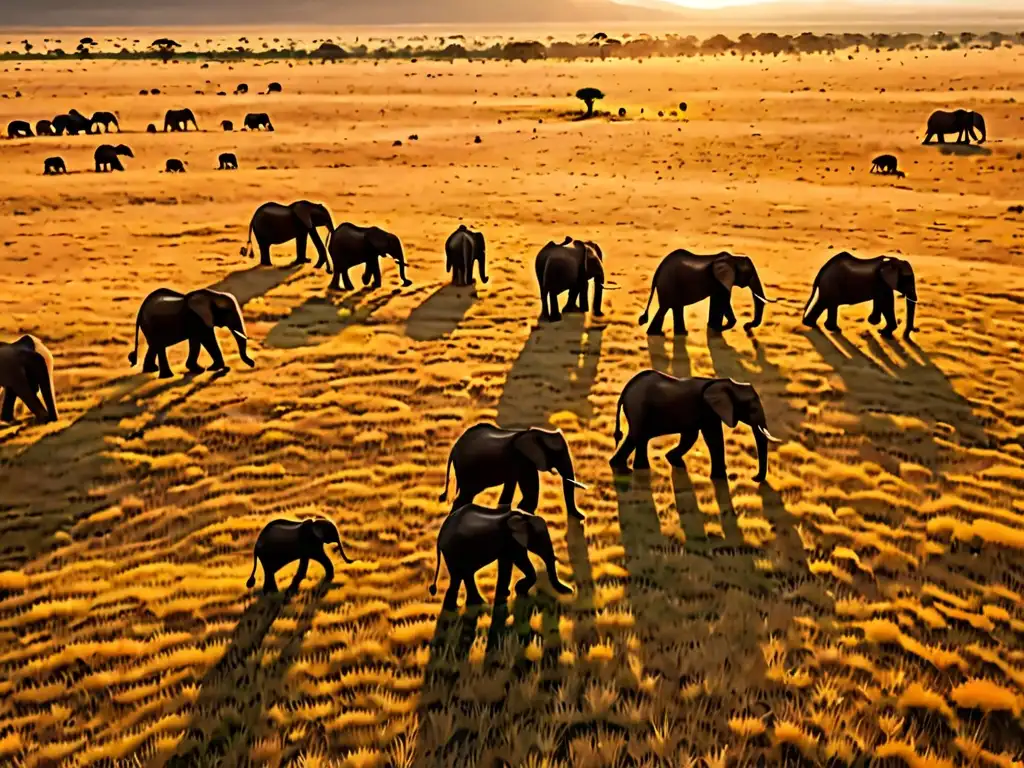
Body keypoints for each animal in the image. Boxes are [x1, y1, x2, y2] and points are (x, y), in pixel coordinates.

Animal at [127, 286, 256, 378]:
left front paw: (200, 369)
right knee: (158, 346)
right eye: (227, 312)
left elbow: (196, 341)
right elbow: (207, 339)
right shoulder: (198, 318)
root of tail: (140, 310)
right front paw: (215, 368)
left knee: (153, 346)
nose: (252, 364)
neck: (213, 295)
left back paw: (152, 369)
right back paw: (166, 376)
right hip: (152, 325)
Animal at [428, 505, 577, 614]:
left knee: (462, 575)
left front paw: (513, 593)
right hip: (454, 551)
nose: (571, 591)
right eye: (539, 538)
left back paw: (469, 606)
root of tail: (440, 534)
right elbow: (520, 560)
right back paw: (465, 607)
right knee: (460, 575)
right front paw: (519, 590)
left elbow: (507, 561)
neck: (524, 516)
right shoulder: (512, 540)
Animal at [438, 423, 589, 520]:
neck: (536, 433)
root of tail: (455, 447)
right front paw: (525, 510)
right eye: (556, 453)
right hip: (468, 470)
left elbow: (511, 485)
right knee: (465, 496)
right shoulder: (524, 459)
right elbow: (530, 485)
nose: (582, 517)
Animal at [606, 370, 774, 481]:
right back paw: (623, 469)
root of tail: (625, 391)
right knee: (635, 436)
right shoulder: (708, 409)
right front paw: (719, 478)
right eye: (752, 409)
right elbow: (713, 438)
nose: (754, 478)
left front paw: (674, 461)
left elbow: (690, 435)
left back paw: (638, 468)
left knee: (640, 438)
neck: (726, 383)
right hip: (638, 408)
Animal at [634, 249, 770, 335]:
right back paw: (658, 334)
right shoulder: (721, 281)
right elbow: (723, 301)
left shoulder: (718, 282)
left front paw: (714, 327)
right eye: (750, 274)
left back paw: (680, 333)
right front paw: (719, 328)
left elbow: (717, 300)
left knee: (675, 307)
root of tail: (658, 269)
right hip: (668, 285)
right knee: (665, 308)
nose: (746, 326)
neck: (734, 259)